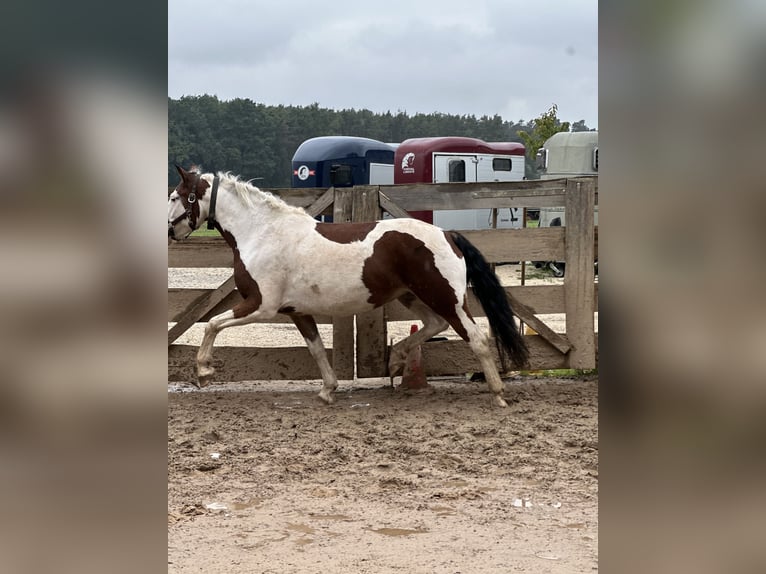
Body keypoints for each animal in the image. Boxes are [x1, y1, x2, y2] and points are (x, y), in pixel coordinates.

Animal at [168, 166, 529, 407]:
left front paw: (203, 372)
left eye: (175, 196)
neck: (262, 232)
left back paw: (498, 394)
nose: (170, 231)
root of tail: (447, 234)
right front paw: (327, 390)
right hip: (414, 296)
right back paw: (396, 359)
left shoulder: (261, 305)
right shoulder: (296, 311)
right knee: (433, 325)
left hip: (446, 298)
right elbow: (316, 348)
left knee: (477, 338)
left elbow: (212, 324)